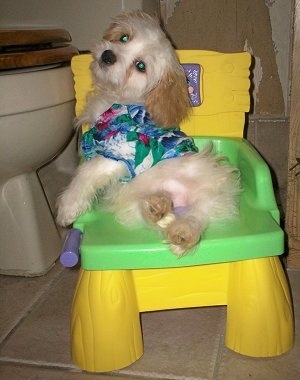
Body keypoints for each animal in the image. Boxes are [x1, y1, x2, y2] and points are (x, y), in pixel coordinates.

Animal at [56, 11, 239, 255]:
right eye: (124, 38)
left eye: (140, 66)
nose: (107, 55)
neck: (118, 102)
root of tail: (178, 202)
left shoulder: (124, 151)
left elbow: (87, 171)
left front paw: (67, 207)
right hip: (129, 200)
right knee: (151, 215)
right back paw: (157, 208)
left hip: (209, 191)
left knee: (199, 214)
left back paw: (183, 231)